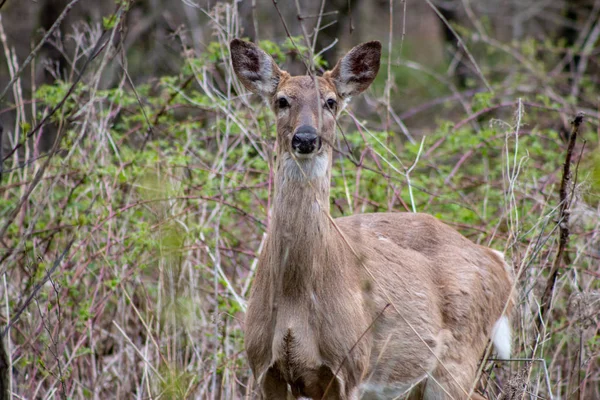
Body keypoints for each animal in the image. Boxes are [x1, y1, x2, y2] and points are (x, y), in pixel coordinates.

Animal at [232, 38, 512, 400]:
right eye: (281, 100)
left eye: (331, 102)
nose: (306, 138)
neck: (294, 300)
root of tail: (499, 260)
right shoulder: (264, 368)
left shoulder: (350, 367)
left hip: (458, 360)